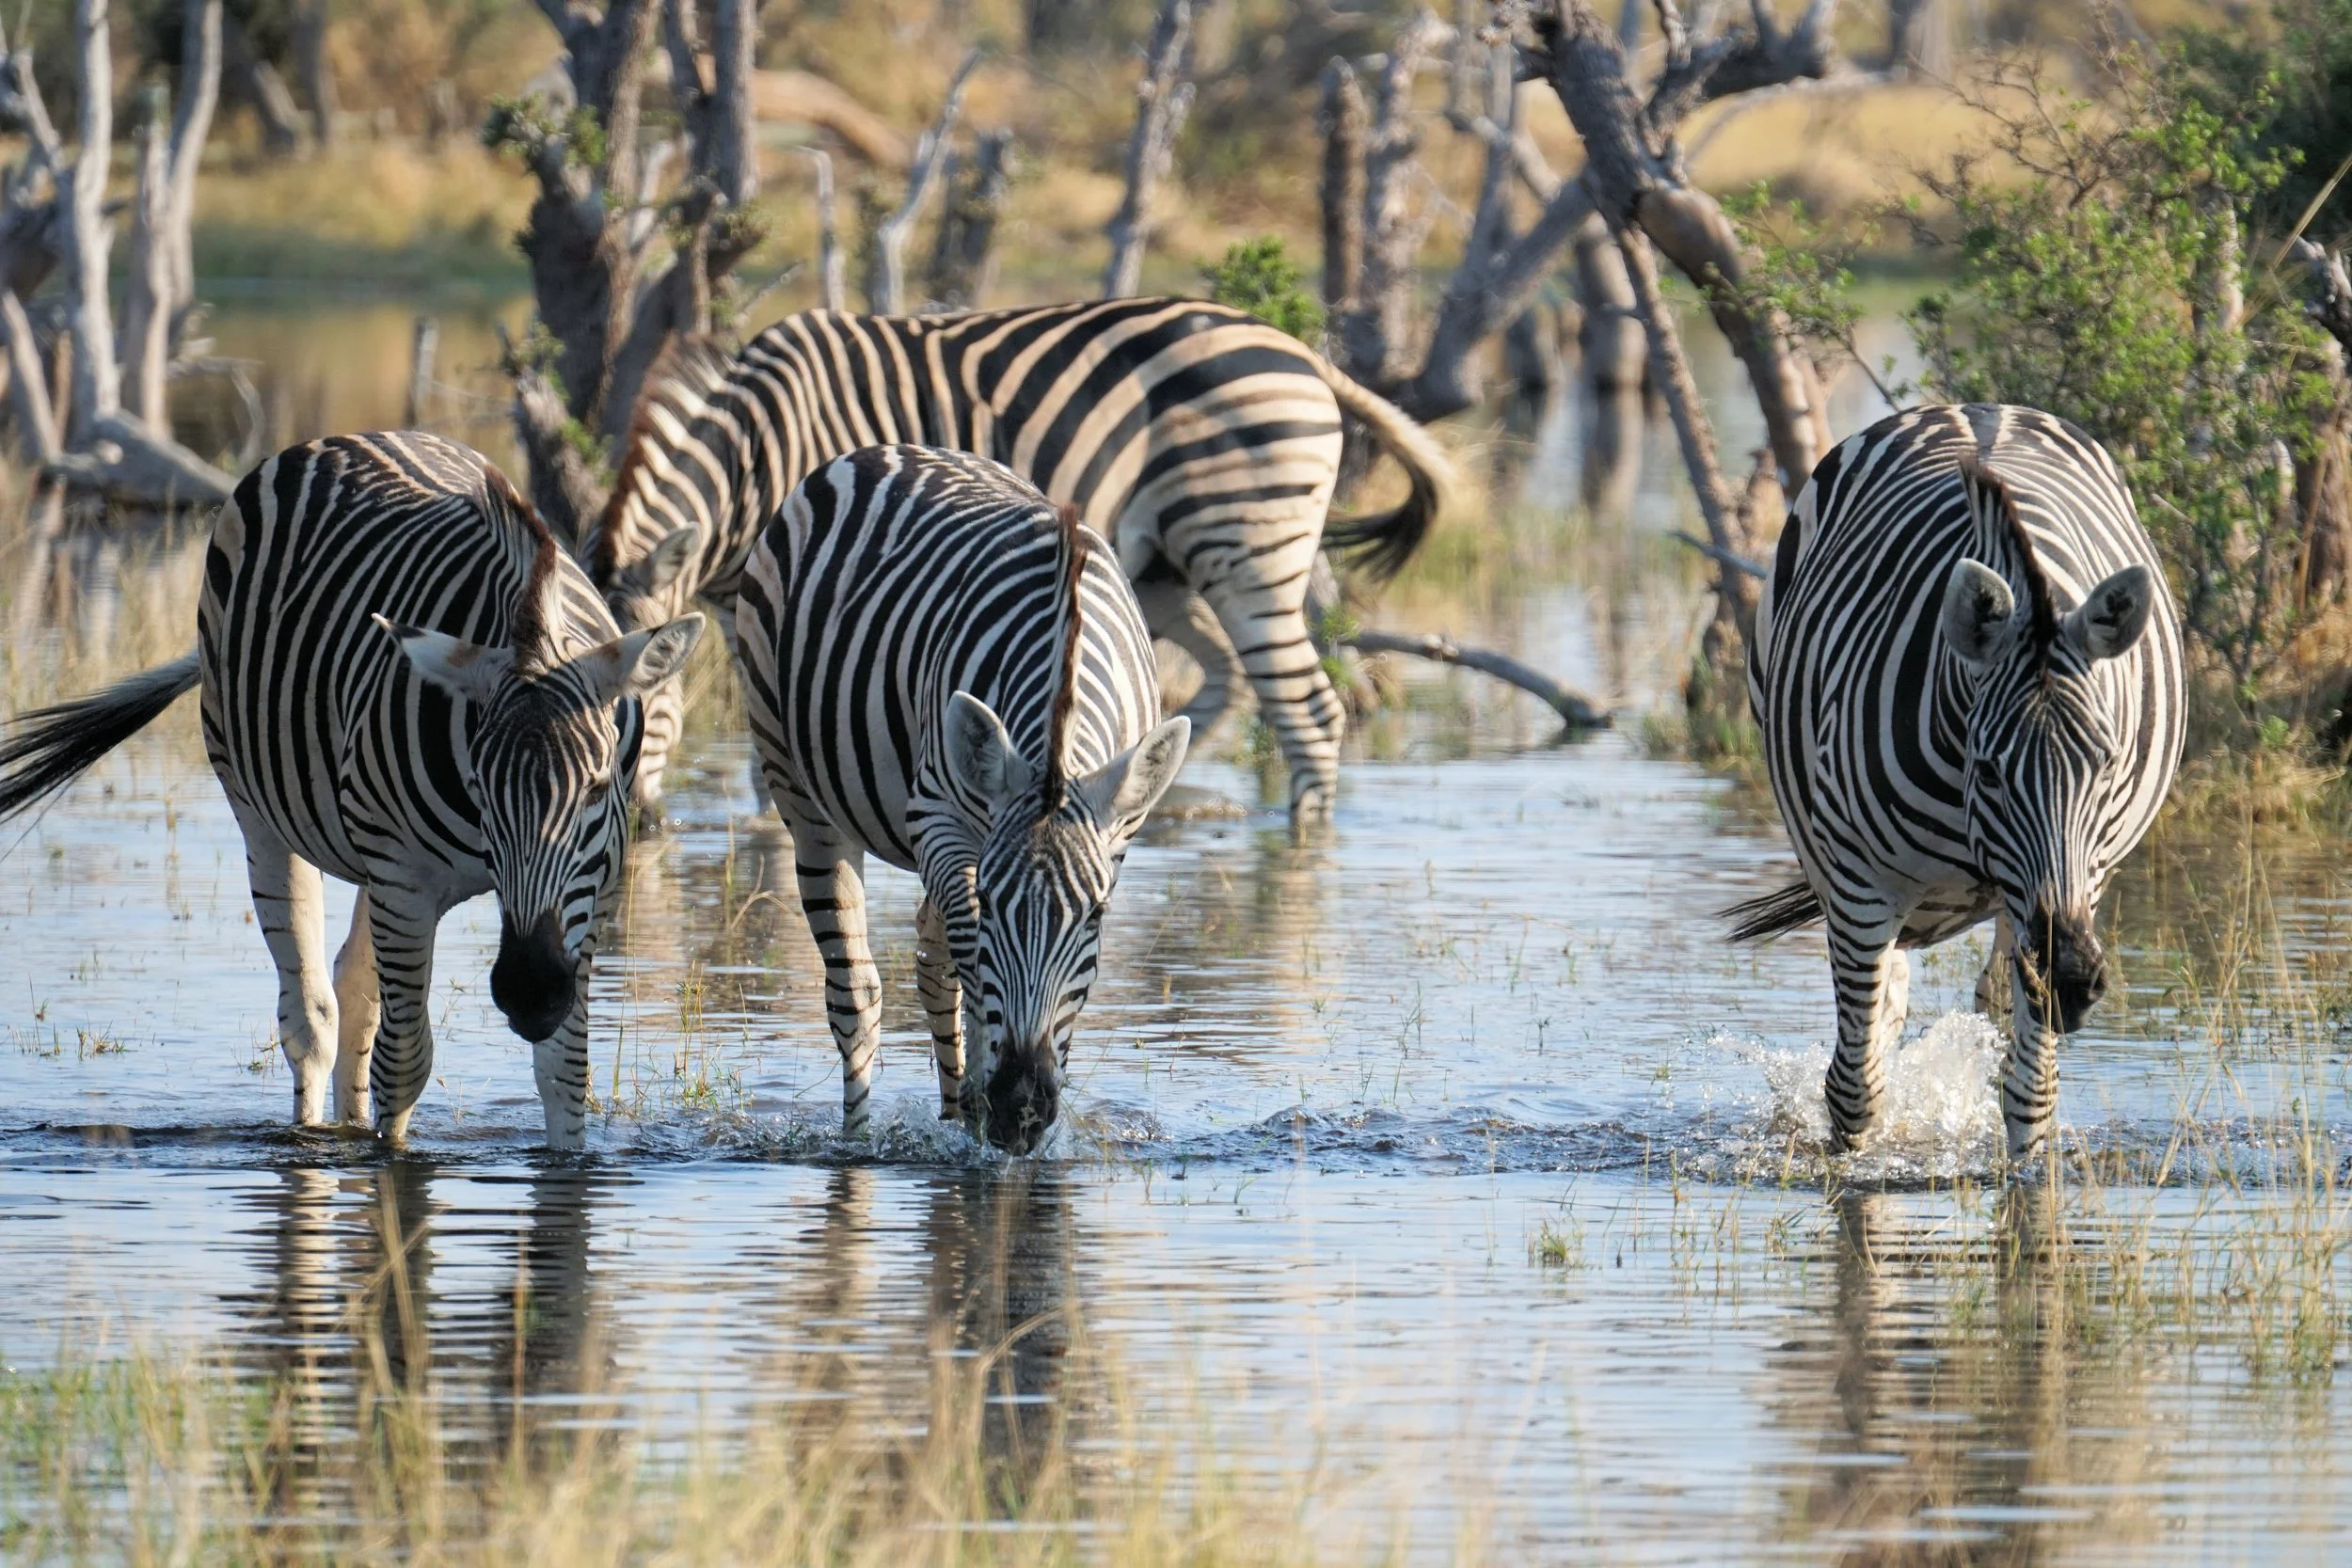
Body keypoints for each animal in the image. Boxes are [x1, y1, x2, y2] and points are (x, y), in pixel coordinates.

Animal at [0, 433, 702, 1149]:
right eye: (480, 786)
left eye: (596, 787)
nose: (529, 990)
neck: (529, 621)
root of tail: (350, 438)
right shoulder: (406, 881)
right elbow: (405, 1060)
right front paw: (387, 1163)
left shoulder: (589, 891)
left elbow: (564, 1072)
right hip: (266, 813)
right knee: (312, 1015)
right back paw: (313, 1134)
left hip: (375, 860)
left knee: (356, 992)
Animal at [585, 298, 1458, 827]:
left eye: (647, 695)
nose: (634, 828)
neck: (754, 457)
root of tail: (1304, 354)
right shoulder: (750, 604)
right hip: (1164, 571)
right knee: (1225, 679)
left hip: (1246, 548)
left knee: (1307, 709)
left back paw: (1298, 848)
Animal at [732, 444, 1188, 1153]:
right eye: (999, 905)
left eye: (1097, 916)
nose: (1022, 1105)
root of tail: (887, 451)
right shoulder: (938, 818)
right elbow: (972, 951)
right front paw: (984, 1099)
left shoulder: (1112, 840)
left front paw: (1007, 1119)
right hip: (801, 792)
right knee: (857, 991)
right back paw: (863, 1138)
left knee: (931, 960)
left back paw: (955, 1107)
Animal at [1732, 404, 2183, 1158]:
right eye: (1991, 770)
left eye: (2105, 765)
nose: (2072, 982)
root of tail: (1978, 410)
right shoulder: (1860, 882)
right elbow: (1853, 1092)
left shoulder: (2079, 880)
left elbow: (2030, 1100)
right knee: (1882, 1006)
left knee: (1992, 1003)